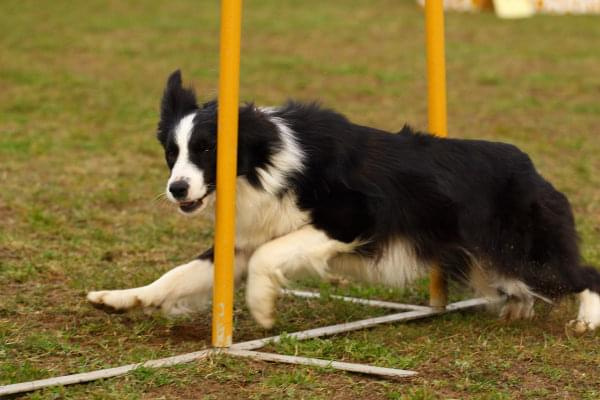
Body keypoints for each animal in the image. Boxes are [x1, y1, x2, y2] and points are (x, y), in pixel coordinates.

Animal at [88, 70, 600, 332]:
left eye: (208, 149)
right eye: (171, 152)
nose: (176, 189)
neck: (263, 162)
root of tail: (530, 166)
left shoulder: (353, 218)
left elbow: (269, 256)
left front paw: (262, 307)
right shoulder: (242, 240)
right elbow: (177, 275)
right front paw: (118, 299)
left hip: (528, 249)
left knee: (585, 275)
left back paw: (586, 321)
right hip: (494, 258)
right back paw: (517, 306)